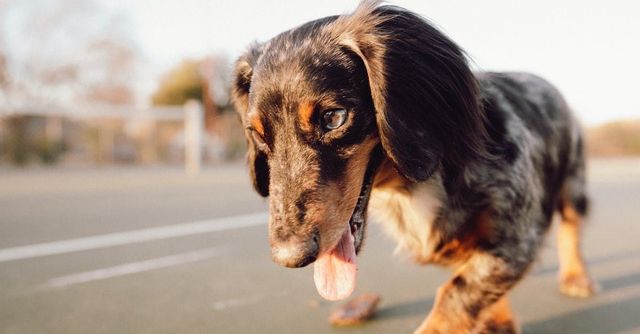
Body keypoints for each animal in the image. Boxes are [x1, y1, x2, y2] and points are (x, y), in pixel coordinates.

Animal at [232, 1, 596, 332]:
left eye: (333, 118)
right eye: (258, 134)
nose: (289, 256)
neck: (412, 188)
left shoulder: (519, 237)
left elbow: (455, 294)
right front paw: (496, 319)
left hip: (573, 185)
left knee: (571, 228)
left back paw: (576, 277)